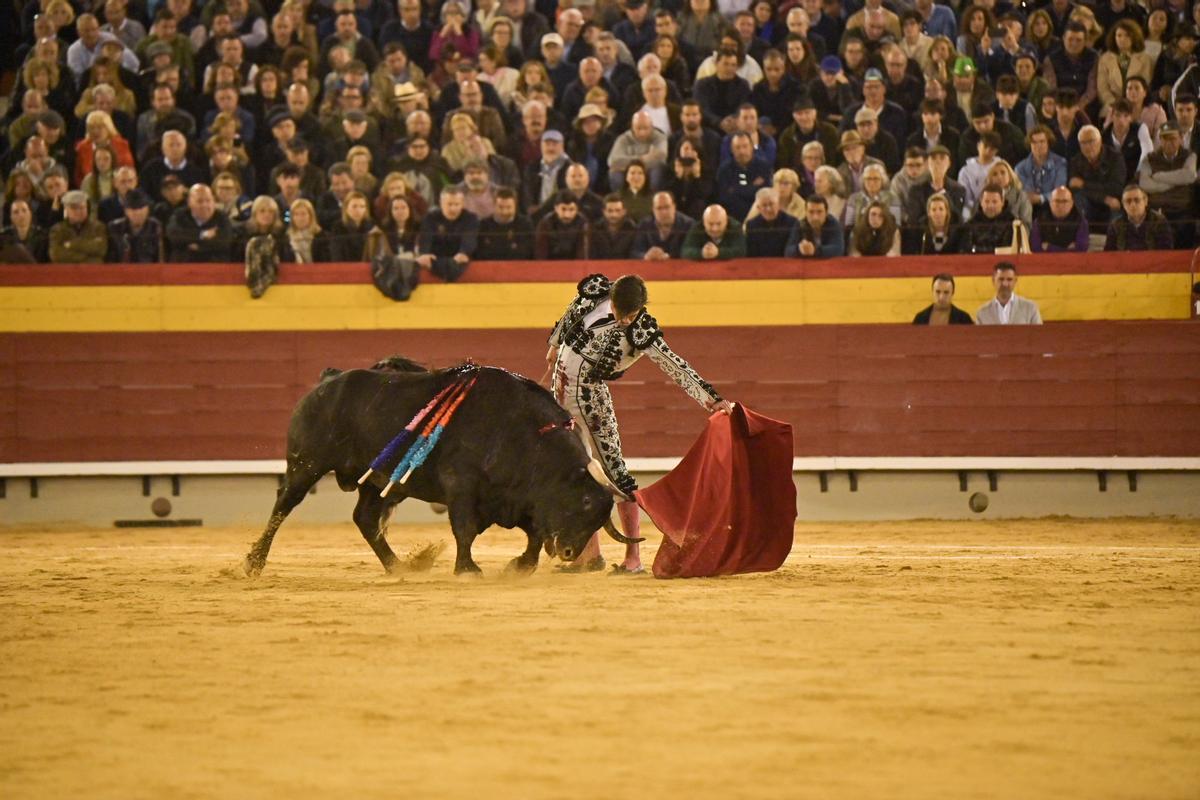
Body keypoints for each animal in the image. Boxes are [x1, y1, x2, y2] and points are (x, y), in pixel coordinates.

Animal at [240, 357, 628, 575]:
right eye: (585, 502)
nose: (568, 553)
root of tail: (327, 381)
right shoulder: (461, 485)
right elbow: (465, 529)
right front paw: (468, 569)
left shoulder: (518, 500)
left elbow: (533, 537)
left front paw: (518, 567)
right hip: (306, 464)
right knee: (283, 505)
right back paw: (253, 563)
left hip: (378, 481)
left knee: (365, 519)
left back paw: (397, 566)